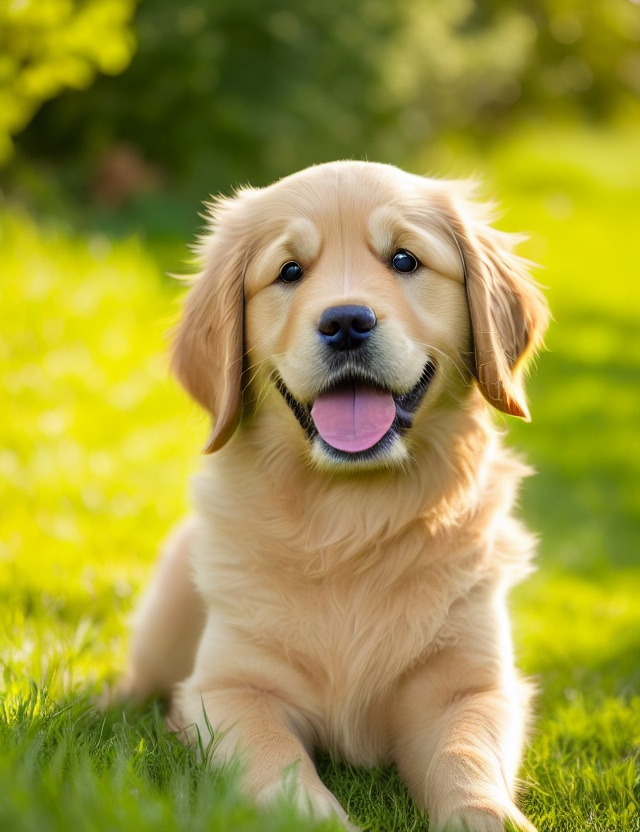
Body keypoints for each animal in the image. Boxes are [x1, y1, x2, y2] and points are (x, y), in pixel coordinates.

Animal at [122, 162, 548, 832]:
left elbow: (465, 758)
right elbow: (281, 769)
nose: (346, 322)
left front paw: (485, 817)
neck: (352, 518)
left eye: (404, 259)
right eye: (289, 271)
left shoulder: (470, 687)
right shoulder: (230, 690)